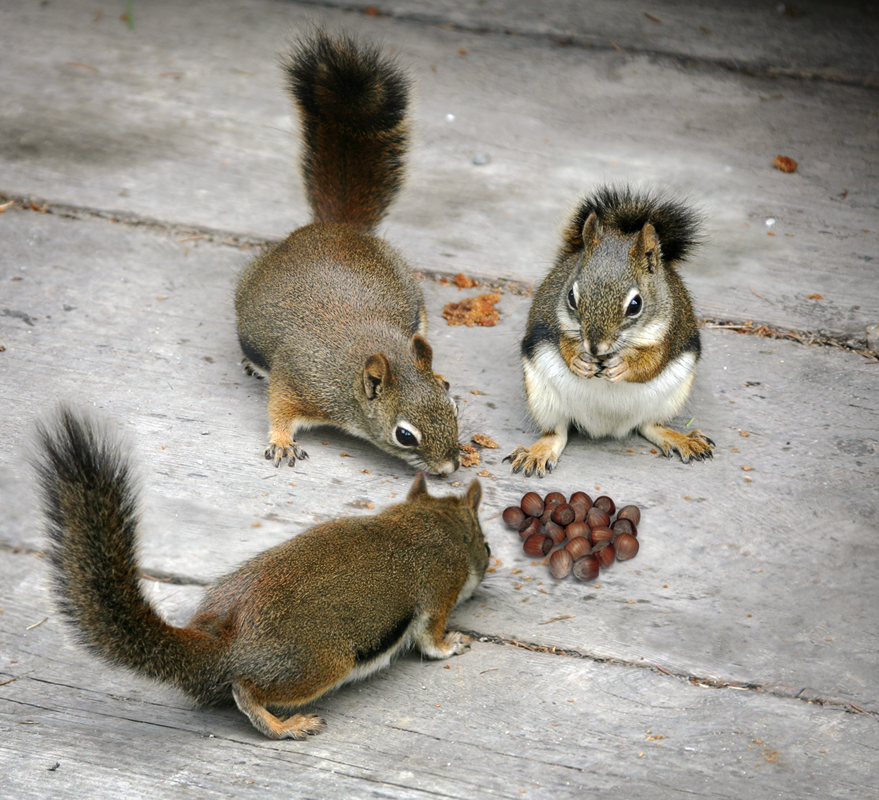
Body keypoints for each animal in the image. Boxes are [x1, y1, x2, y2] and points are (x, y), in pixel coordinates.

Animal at [32, 410, 488, 740]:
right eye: (485, 546)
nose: (486, 567)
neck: (426, 523)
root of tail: (225, 645)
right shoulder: (439, 591)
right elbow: (429, 639)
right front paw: (452, 644)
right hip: (319, 662)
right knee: (246, 690)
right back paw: (285, 725)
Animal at [237, 32, 464, 476]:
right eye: (405, 435)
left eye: (452, 402)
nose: (449, 468)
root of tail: (335, 227)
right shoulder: (301, 381)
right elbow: (279, 409)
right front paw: (282, 442)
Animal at [506, 187, 720, 476]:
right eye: (571, 296)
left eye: (635, 305)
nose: (594, 347)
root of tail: (606, 427)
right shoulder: (559, 323)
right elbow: (563, 343)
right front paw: (579, 361)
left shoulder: (668, 333)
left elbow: (652, 362)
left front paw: (623, 366)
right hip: (543, 397)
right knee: (557, 433)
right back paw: (539, 452)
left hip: (670, 399)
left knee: (649, 425)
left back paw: (681, 439)